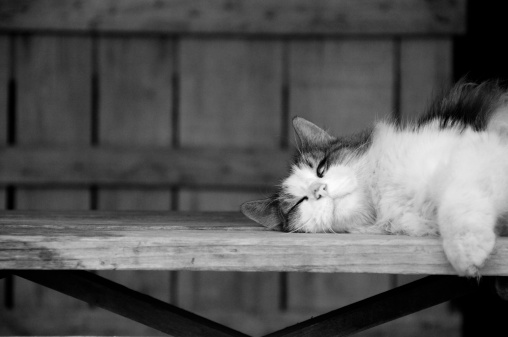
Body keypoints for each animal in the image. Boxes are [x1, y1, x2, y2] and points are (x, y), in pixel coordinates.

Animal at [240, 79, 508, 276]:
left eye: (321, 169)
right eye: (299, 202)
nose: (319, 190)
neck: (384, 195)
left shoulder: (471, 153)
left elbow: (457, 199)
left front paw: (466, 251)